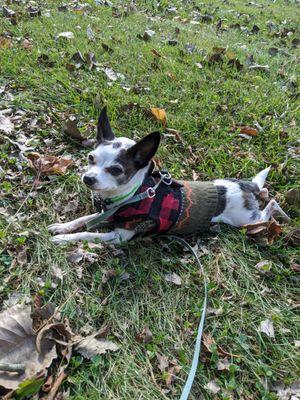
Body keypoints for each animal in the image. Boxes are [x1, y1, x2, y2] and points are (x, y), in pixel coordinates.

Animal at [48, 106, 290, 244]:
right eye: (91, 158)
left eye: (116, 170)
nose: (88, 178)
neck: (132, 195)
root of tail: (245, 186)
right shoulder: (107, 215)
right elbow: (83, 220)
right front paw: (62, 226)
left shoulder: (119, 236)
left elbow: (88, 234)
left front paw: (63, 238)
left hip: (247, 220)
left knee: (271, 205)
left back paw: (283, 216)